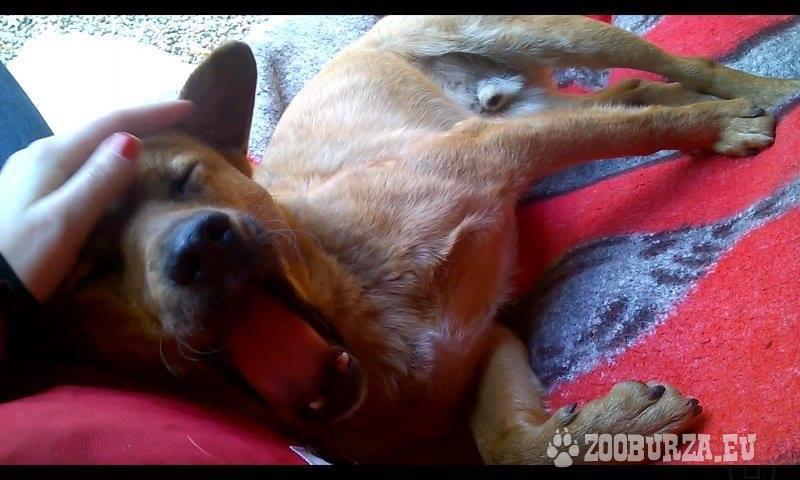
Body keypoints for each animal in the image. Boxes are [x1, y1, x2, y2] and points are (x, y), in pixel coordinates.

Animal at [34, 16, 800, 464]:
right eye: (91, 269)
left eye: (188, 179)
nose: (200, 248)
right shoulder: (488, 339)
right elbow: (503, 445)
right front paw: (597, 432)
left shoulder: (495, 151)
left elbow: (644, 131)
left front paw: (722, 126)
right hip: (533, 101)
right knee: (633, 95)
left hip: (544, 37)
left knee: (671, 78)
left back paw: (759, 87)